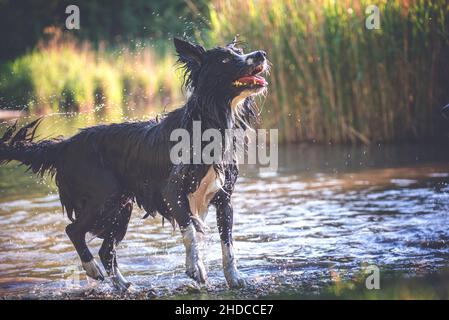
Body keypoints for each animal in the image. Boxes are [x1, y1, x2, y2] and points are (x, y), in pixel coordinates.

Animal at [0, 37, 268, 290]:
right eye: (225, 59)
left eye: (239, 52)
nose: (261, 54)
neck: (211, 122)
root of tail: (66, 145)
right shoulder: (172, 192)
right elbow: (190, 230)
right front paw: (196, 268)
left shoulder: (224, 198)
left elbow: (228, 243)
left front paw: (234, 278)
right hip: (104, 196)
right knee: (74, 231)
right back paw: (92, 269)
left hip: (121, 207)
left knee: (106, 250)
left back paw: (122, 285)